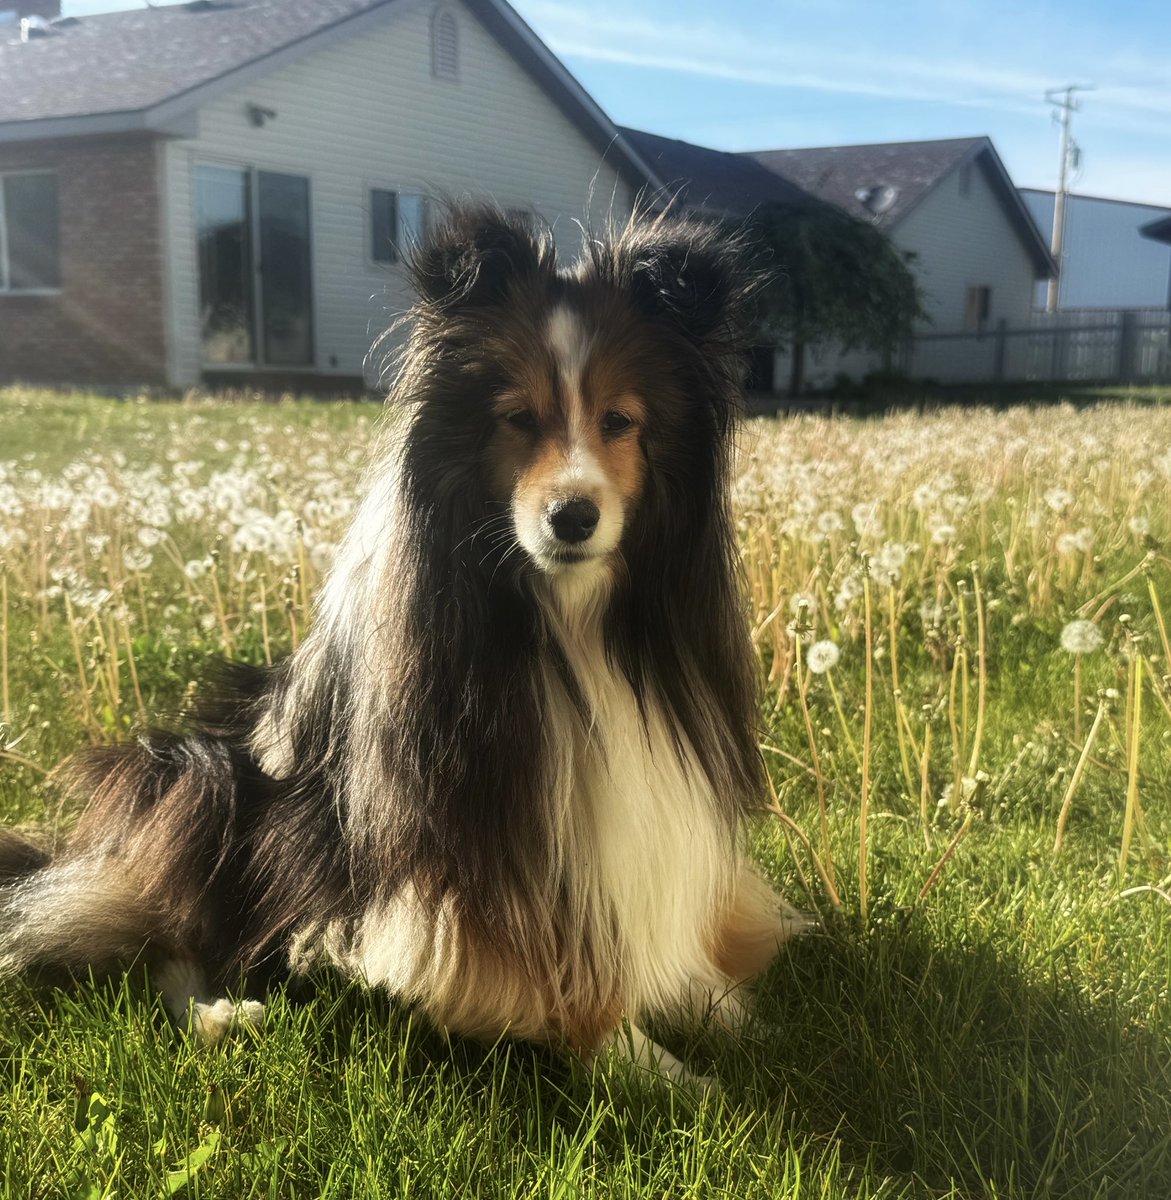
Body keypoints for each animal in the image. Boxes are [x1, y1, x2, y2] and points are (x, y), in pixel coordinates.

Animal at [0, 206, 806, 1089]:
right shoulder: (476, 835)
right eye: (517, 417)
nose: (572, 517)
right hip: (199, 778)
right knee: (166, 932)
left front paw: (720, 1007)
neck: (568, 622)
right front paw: (651, 1065)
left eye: (618, 422)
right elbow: (549, 963)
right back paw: (221, 1012)